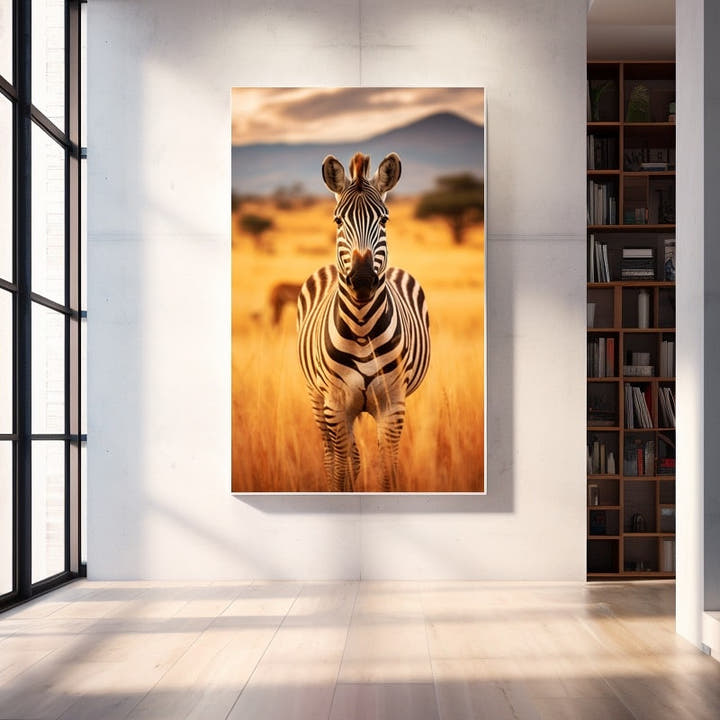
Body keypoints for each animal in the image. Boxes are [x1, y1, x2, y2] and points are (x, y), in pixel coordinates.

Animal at [297, 152, 430, 492]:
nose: (361, 280)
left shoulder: (393, 404)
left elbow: (387, 472)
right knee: (334, 457)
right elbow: (341, 470)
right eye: (338, 221)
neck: (361, 328)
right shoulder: (335, 403)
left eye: (384, 220)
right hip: (316, 397)